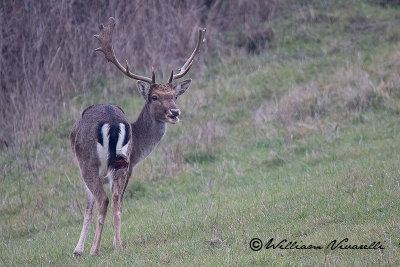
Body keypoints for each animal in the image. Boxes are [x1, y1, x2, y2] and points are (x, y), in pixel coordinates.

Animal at [70, 17, 205, 256]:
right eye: (155, 97)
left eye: (174, 95)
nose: (175, 112)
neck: (141, 146)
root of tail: (114, 124)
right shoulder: (130, 163)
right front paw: (112, 243)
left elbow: (88, 205)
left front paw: (78, 250)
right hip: (121, 163)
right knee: (116, 200)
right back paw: (118, 246)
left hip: (89, 162)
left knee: (103, 199)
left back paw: (95, 250)